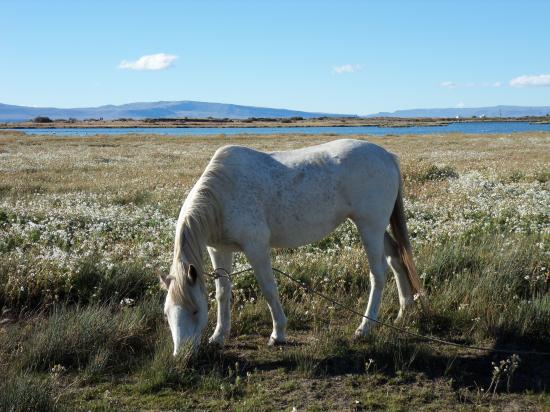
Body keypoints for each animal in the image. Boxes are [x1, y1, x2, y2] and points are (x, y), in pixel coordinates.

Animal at [162, 138, 424, 354]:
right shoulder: (219, 250)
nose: (182, 354)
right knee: (396, 257)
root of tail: (386, 155)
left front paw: (278, 333)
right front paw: (219, 336)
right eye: (166, 313)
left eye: (195, 311)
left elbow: (268, 289)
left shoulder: (256, 247)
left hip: (370, 227)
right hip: (376, 228)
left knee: (377, 274)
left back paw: (365, 327)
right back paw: (404, 310)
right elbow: (222, 293)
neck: (223, 194)